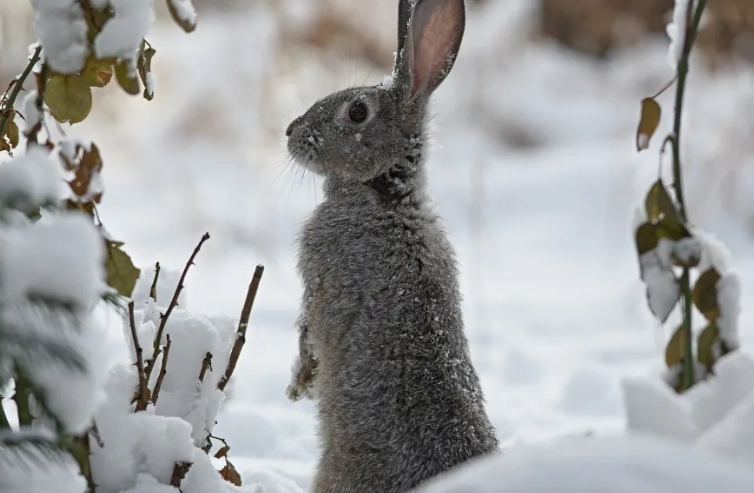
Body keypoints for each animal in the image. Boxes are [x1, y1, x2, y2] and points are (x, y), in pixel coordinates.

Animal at [284, 0, 499, 491]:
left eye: (357, 112)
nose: (290, 132)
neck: (385, 196)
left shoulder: (321, 277)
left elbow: (307, 331)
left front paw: (299, 383)